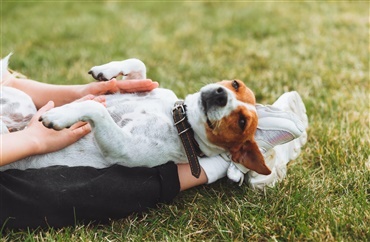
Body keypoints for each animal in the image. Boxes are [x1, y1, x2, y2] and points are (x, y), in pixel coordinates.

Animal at [0, 54, 272, 176]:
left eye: (241, 122)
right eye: (235, 84)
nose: (220, 94)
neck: (178, 119)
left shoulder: (122, 148)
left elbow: (97, 109)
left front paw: (60, 115)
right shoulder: (141, 84)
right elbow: (137, 63)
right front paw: (105, 71)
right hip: (24, 102)